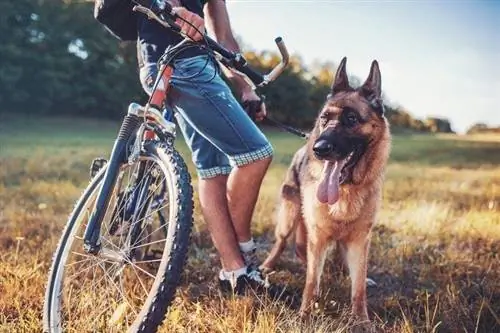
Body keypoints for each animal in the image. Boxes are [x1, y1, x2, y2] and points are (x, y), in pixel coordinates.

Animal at [260, 56, 392, 322]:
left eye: (352, 119)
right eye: (324, 118)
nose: (319, 149)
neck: (346, 189)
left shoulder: (360, 239)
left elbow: (358, 286)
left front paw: (361, 319)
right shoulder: (318, 237)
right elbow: (312, 281)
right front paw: (304, 314)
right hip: (289, 217)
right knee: (281, 243)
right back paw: (268, 266)